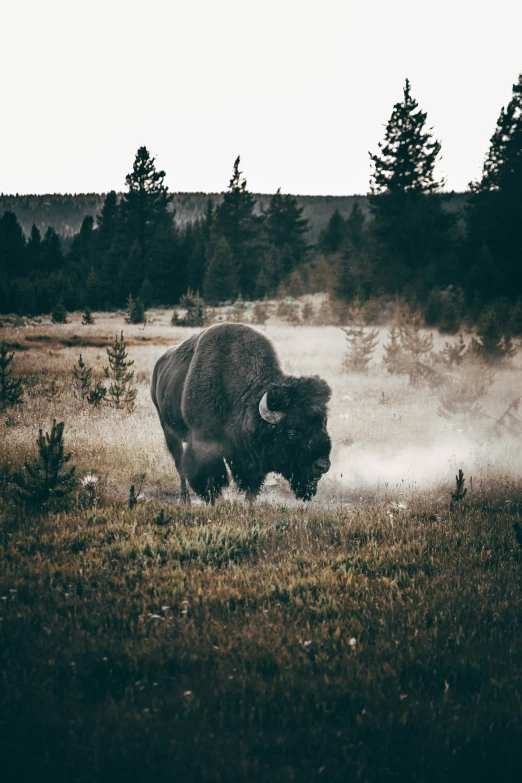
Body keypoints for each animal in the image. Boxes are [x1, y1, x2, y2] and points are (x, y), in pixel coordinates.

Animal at [149, 324, 330, 502]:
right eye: (292, 433)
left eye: (323, 425)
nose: (322, 465)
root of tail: (158, 367)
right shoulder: (206, 445)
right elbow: (210, 479)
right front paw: (214, 502)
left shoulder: (250, 459)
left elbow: (251, 486)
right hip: (168, 430)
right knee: (180, 465)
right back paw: (185, 500)